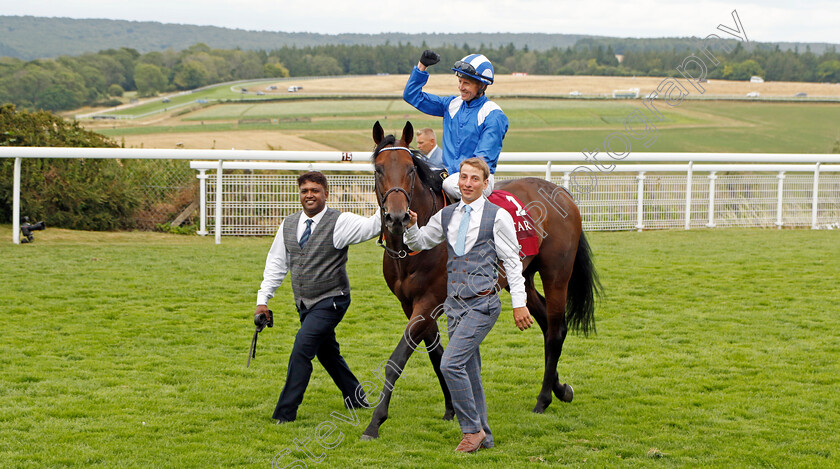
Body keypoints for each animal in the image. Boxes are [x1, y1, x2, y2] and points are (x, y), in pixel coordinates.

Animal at [360, 119, 596, 438]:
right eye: (378, 169)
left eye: (410, 169)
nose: (397, 217)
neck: (411, 250)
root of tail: (560, 191)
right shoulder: (410, 304)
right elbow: (436, 354)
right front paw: (450, 408)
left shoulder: (429, 301)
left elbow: (398, 359)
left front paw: (375, 421)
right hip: (521, 276)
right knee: (546, 322)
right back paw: (560, 389)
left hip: (556, 274)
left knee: (556, 329)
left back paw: (544, 399)